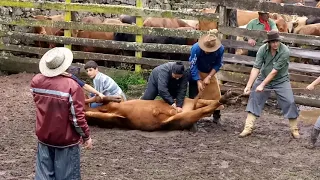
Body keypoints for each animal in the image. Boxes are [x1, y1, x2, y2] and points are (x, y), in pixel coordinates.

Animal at [84, 90, 235, 131]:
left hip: (186, 104)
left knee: (203, 103)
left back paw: (227, 99)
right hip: (185, 115)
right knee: (204, 108)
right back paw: (226, 99)